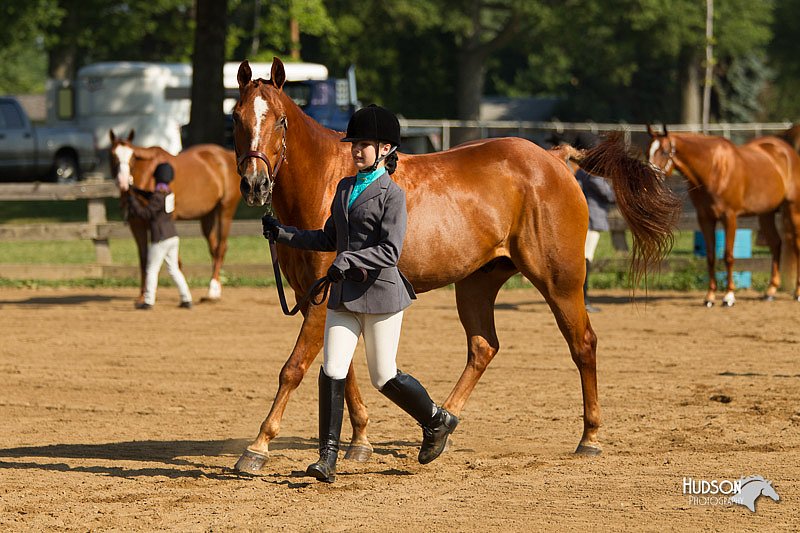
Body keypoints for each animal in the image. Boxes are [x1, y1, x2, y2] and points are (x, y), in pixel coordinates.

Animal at [109, 129, 242, 302]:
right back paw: (216, 288)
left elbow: (171, 261)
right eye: (113, 155)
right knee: (213, 248)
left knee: (221, 248)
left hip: (225, 211)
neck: (148, 175)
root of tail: (227, 155)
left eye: (132, 158)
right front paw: (142, 295)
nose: (123, 182)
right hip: (207, 216)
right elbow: (144, 258)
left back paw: (212, 289)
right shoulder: (136, 224)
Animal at [231, 57, 680, 474]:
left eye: (280, 120)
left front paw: (257, 447)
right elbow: (342, 370)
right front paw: (359, 441)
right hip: (477, 283)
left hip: (560, 281)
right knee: (483, 347)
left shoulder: (321, 298)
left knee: (582, 344)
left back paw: (589, 437)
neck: (326, 184)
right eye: (237, 117)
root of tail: (553, 159)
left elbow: (293, 369)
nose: (255, 185)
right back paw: (441, 426)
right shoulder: (325, 299)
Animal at [644, 124, 800, 306]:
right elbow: (711, 256)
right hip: (766, 214)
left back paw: (797, 292)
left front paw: (729, 296)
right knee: (776, 244)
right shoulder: (705, 218)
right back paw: (770, 291)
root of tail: (787, 151)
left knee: (796, 246)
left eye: (663, 151)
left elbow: (728, 256)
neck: (713, 169)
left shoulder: (729, 217)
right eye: (647, 152)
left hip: (792, 209)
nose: (648, 182)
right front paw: (710, 297)